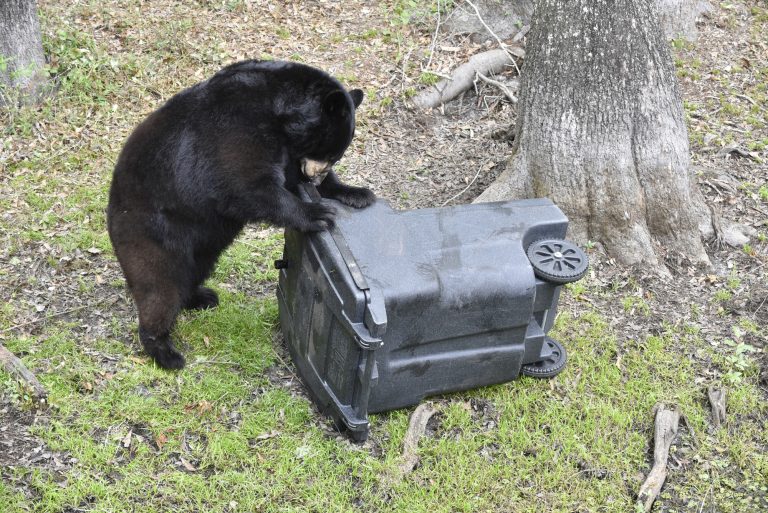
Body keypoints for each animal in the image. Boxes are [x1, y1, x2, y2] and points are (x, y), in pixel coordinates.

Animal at [106, 60, 374, 368]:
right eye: (330, 153)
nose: (315, 180)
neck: (280, 113)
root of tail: (111, 212)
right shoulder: (237, 130)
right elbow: (248, 185)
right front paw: (316, 212)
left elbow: (289, 176)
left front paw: (356, 192)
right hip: (152, 233)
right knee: (160, 287)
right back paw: (165, 352)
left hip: (201, 244)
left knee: (193, 271)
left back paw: (201, 297)